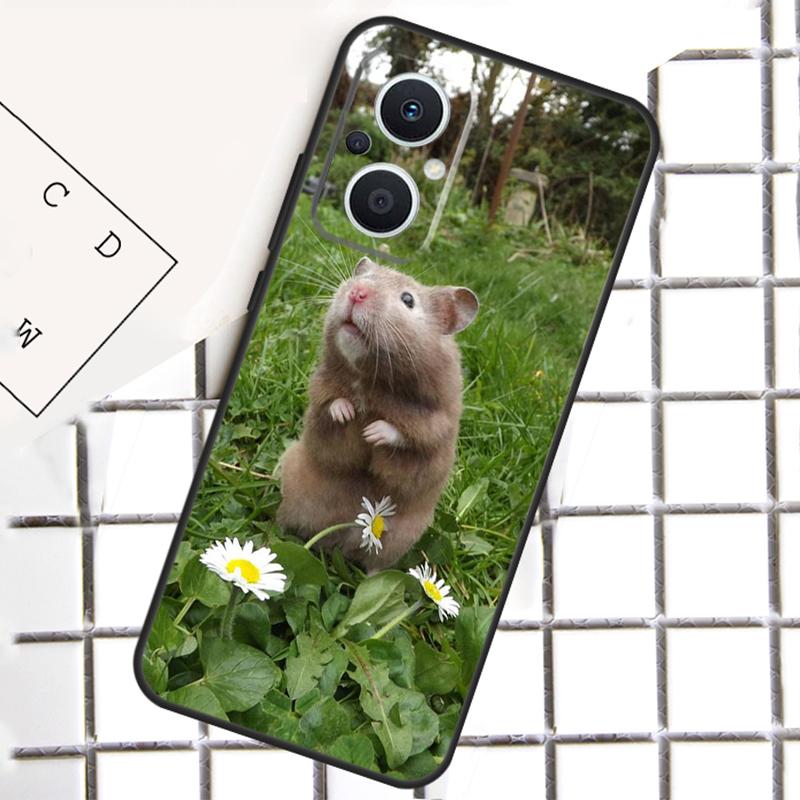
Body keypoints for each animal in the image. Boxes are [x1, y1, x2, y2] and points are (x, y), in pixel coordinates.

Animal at [276, 256, 479, 572]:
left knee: (375, 566)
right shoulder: (320, 391)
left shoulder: (434, 426)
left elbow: (406, 436)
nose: (357, 292)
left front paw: (372, 432)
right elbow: (331, 404)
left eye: (408, 300)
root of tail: (337, 544)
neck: (373, 381)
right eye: (365, 277)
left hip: (397, 540)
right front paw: (347, 414)